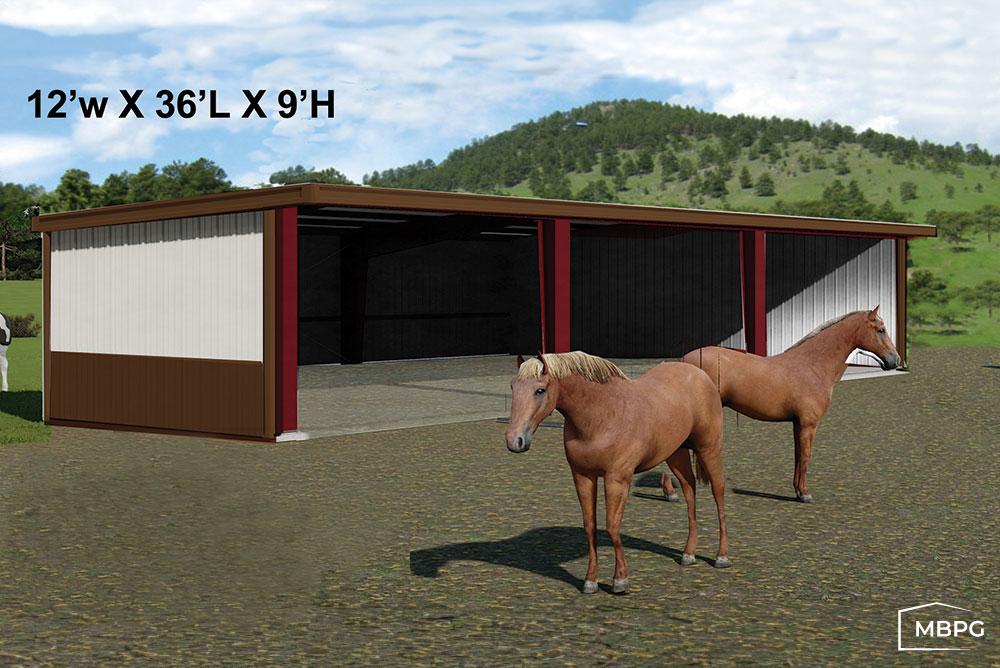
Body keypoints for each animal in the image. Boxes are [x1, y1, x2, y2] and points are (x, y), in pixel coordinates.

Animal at [505, 351, 731, 595]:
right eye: (513, 387)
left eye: (540, 390)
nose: (514, 441)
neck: (602, 415)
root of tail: (699, 374)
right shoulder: (583, 477)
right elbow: (590, 526)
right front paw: (590, 582)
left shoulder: (617, 479)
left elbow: (612, 527)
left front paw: (620, 581)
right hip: (676, 454)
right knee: (690, 491)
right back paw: (688, 554)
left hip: (709, 449)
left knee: (718, 493)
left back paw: (722, 557)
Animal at [661, 306, 901, 504]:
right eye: (881, 330)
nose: (895, 360)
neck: (812, 365)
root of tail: (684, 361)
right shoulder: (808, 424)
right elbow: (805, 456)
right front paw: (805, 494)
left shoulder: (798, 424)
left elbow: (798, 456)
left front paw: (797, 491)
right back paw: (671, 493)